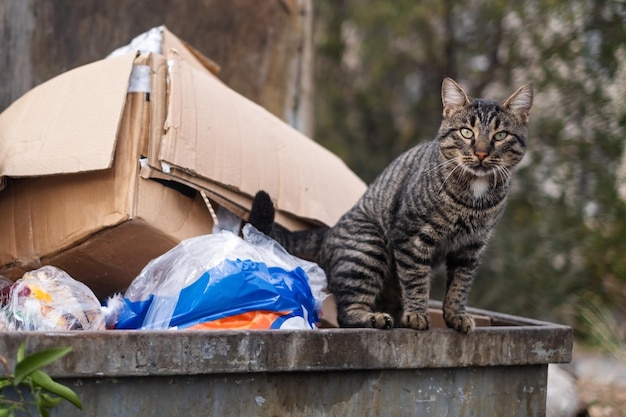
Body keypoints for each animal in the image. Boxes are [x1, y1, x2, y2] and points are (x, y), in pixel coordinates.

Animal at [249, 77, 532, 332]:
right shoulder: (411, 237)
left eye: (500, 135)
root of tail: (330, 233)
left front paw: (456, 316)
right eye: (466, 132)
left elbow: (459, 286)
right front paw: (417, 315)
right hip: (368, 249)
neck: (474, 198)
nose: (482, 153)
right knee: (348, 314)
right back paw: (374, 318)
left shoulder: (470, 248)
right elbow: (416, 280)